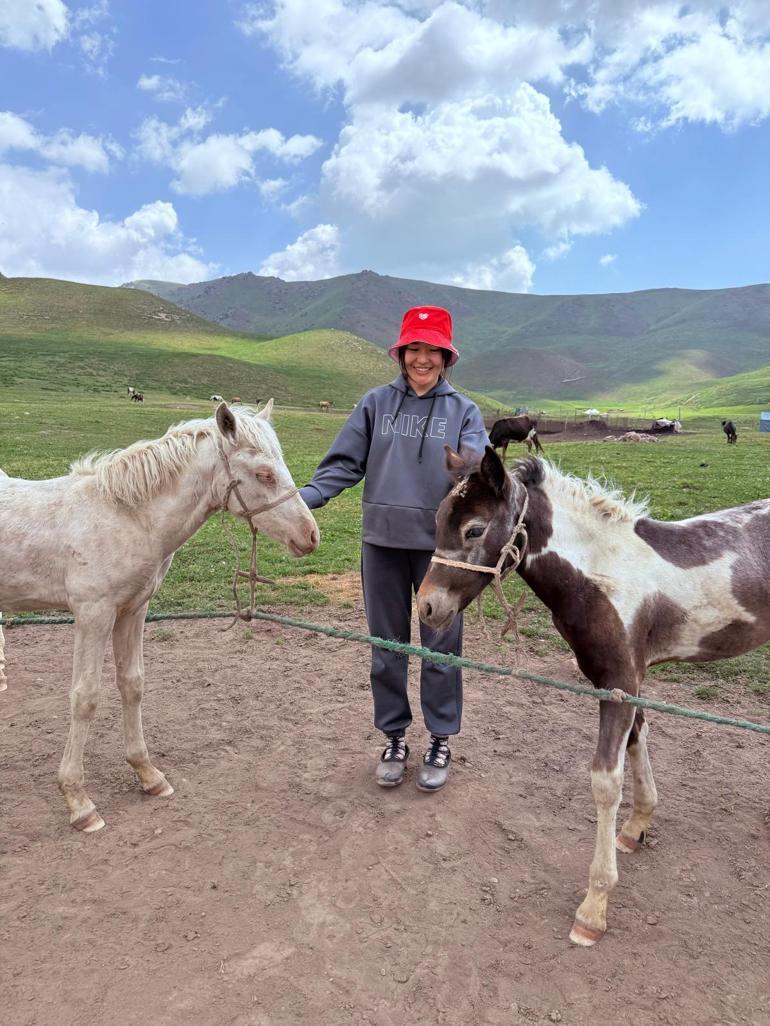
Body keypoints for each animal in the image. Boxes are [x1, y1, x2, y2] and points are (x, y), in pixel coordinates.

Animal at [0, 402, 319, 833]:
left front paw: (148, 775)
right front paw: (79, 801)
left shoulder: (133, 611)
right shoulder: (93, 614)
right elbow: (85, 698)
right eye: (264, 473)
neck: (126, 518)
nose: (310, 536)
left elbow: (132, 685)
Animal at [416, 446, 770, 947]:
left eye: (474, 529)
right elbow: (639, 740)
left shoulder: (620, 683)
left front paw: (594, 907)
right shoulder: (623, 681)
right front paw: (638, 827)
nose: (427, 607)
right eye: (438, 519)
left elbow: (606, 782)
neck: (604, 575)